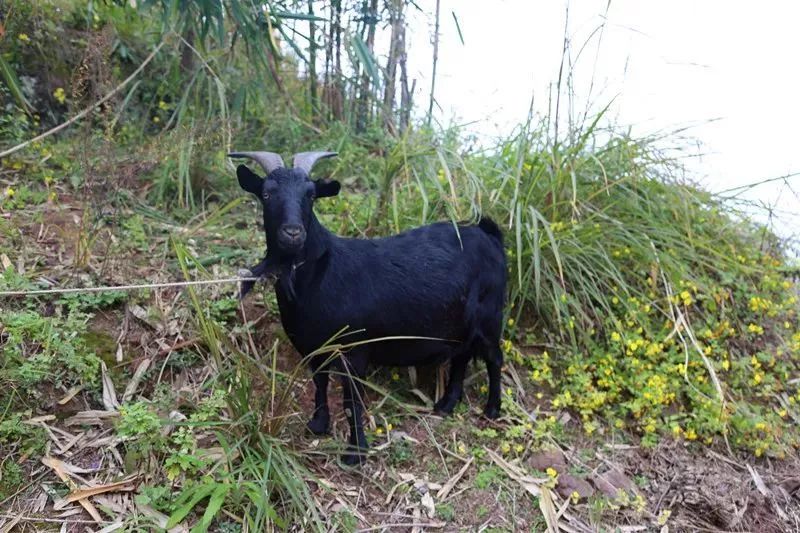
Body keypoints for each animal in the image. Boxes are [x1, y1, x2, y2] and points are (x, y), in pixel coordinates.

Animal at [231, 151, 506, 466]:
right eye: (266, 194)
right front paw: (318, 425)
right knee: (461, 356)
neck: (317, 273)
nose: (292, 233)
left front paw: (356, 453)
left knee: (494, 358)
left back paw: (492, 409)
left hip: (489, 316)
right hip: (460, 323)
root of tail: (489, 235)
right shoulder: (313, 347)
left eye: (310, 195)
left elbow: (352, 399)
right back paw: (446, 404)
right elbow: (320, 383)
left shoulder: (355, 349)